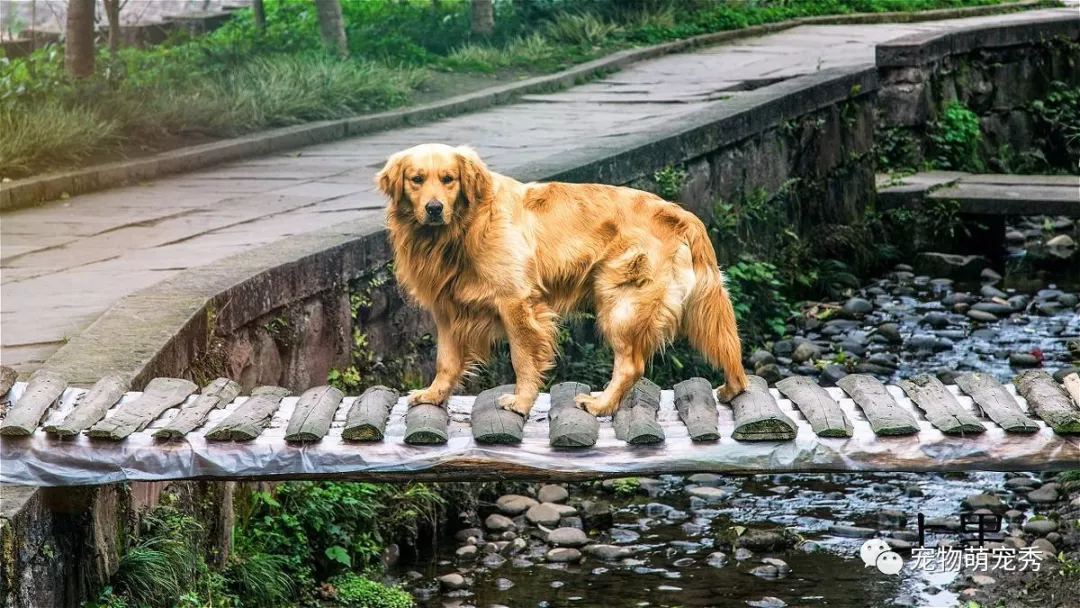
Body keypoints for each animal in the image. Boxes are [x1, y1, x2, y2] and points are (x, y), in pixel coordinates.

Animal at [375, 143, 747, 419]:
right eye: (417, 179)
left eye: (449, 178)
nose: (434, 208)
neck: (464, 227)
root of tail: (680, 213)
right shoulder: (447, 308)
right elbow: (446, 360)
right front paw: (434, 394)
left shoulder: (516, 302)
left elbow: (523, 359)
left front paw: (521, 403)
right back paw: (733, 388)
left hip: (621, 303)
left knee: (631, 365)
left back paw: (600, 404)